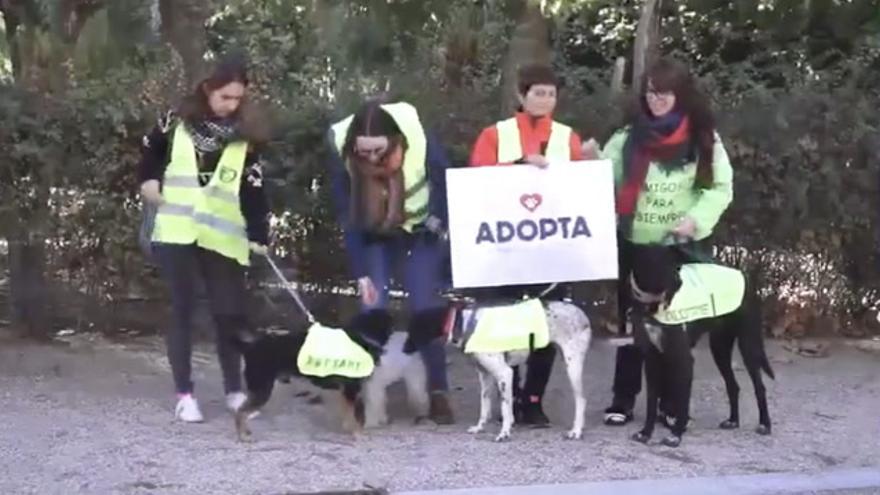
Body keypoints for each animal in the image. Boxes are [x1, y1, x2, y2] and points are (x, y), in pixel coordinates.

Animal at [230, 310, 392, 442]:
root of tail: (249, 347)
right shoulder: (350, 391)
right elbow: (353, 418)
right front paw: (357, 434)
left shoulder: (345, 393)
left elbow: (347, 415)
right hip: (262, 389)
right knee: (240, 412)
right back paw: (242, 436)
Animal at [446, 288, 592, 444]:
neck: (464, 321)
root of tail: (582, 313)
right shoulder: (484, 374)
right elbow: (485, 406)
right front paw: (480, 427)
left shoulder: (504, 373)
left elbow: (505, 407)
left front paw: (504, 433)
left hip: (573, 365)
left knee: (581, 400)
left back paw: (576, 431)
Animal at [624, 244, 776, 450]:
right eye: (658, 262)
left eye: (674, 263)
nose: (679, 283)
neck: (654, 306)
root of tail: (744, 275)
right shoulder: (652, 360)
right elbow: (651, 403)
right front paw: (646, 433)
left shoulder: (684, 361)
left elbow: (682, 401)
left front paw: (676, 435)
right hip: (719, 349)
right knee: (733, 386)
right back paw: (733, 421)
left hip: (748, 346)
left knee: (760, 387)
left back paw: (765, 424)